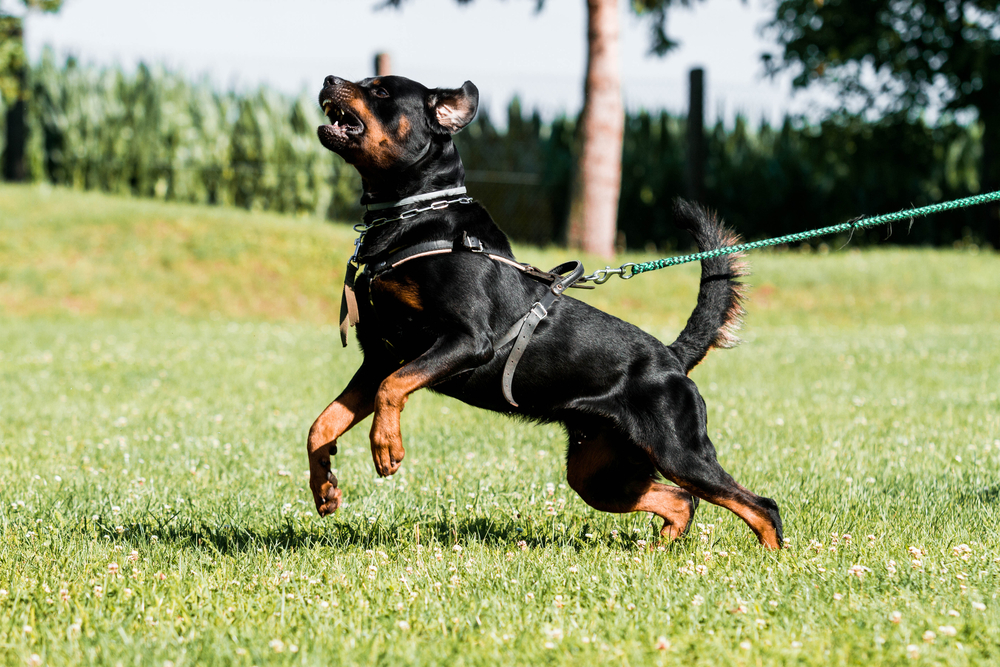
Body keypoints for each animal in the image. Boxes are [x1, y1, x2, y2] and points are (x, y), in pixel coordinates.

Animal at [304, 75, 780, 552]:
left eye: (380, 92)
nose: (328, 79)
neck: (415, 219)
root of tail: (673, 357)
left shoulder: (465, 340)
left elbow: (392, 389)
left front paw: (386, 448)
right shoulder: (380, 357)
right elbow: (322, 424)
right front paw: (324, 486)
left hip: (678, 450)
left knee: (760, 505)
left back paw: (773, 556)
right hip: (599, 470)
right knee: (681, 499)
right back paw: (663, 546)